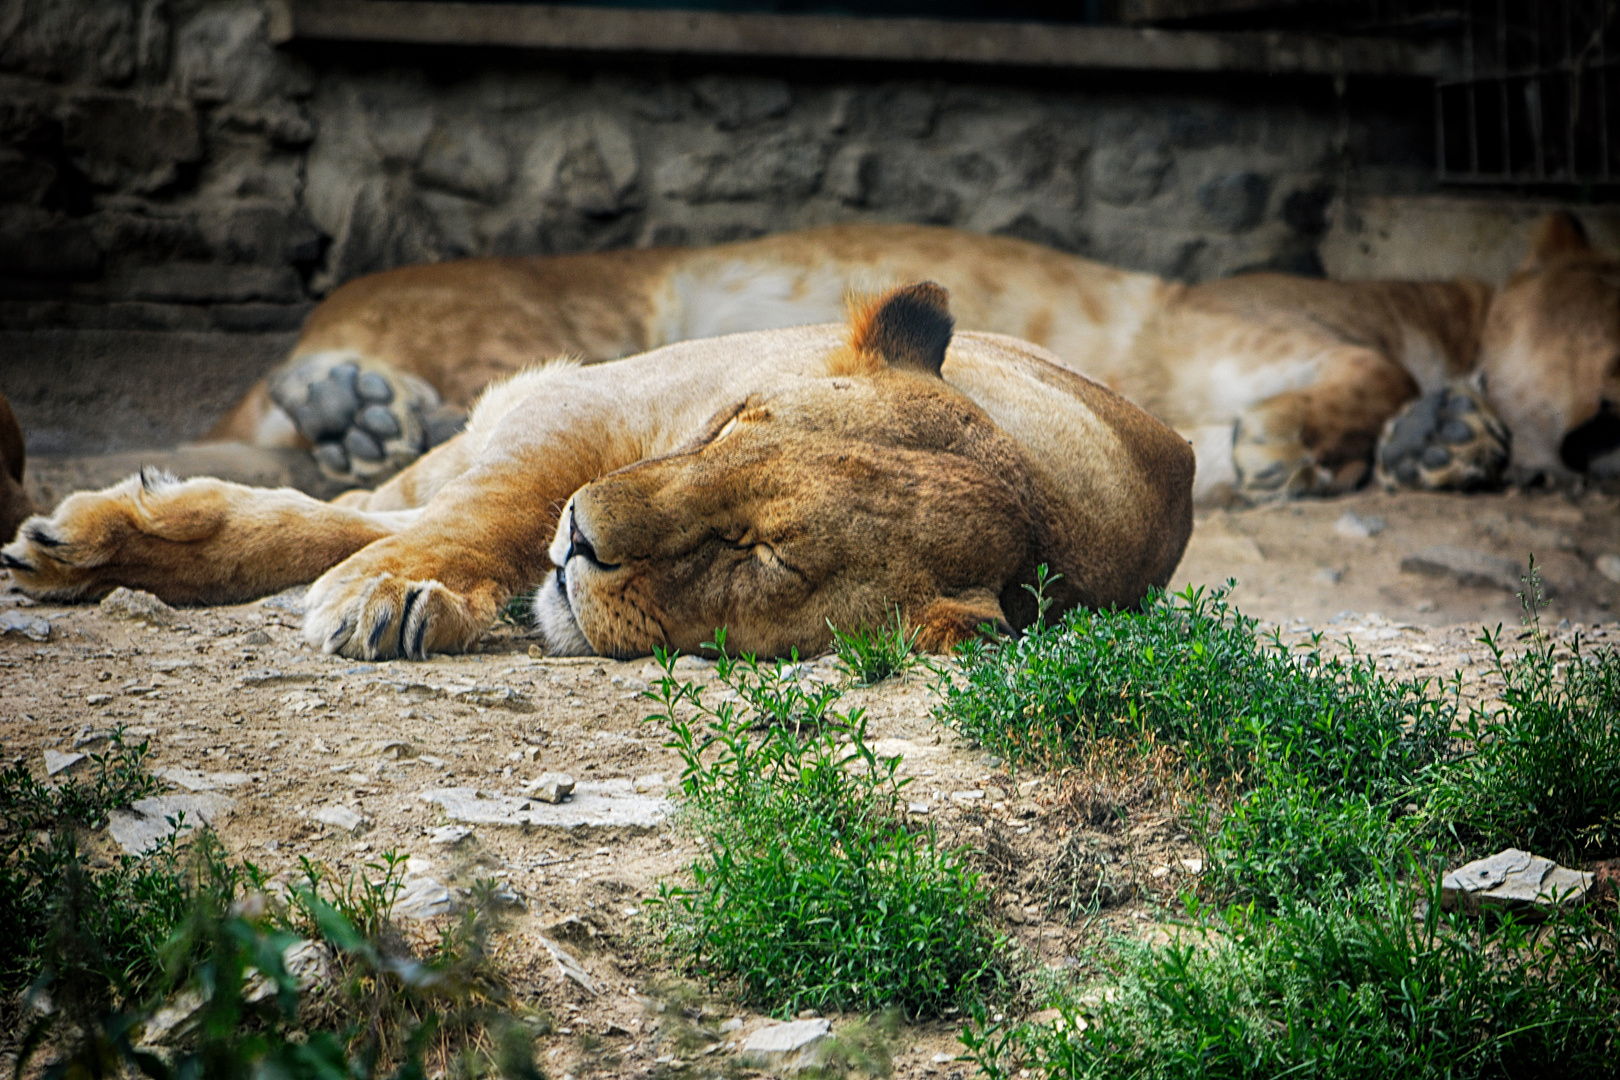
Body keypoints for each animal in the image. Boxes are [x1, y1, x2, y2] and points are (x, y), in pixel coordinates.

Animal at [0, 283, 1192, 663]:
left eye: (756, 552)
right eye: (729, 428)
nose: (581, 539)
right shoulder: (580, 407)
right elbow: (484, 510)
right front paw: (395, 590)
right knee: (360, 507)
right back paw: (83, 540)